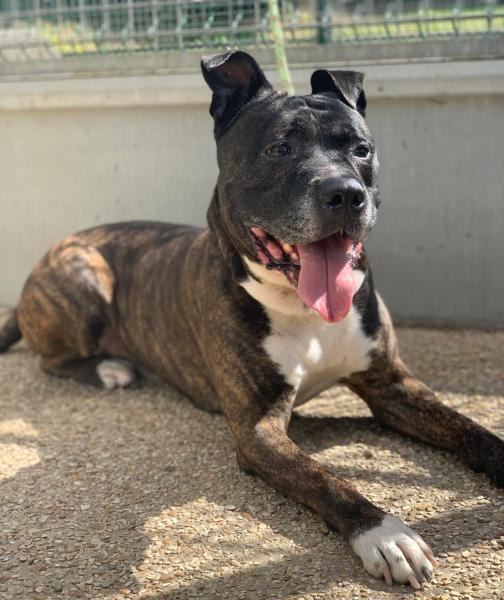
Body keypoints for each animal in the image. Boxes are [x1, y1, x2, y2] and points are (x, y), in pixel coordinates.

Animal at [1, 50, 503, 589]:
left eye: (361, 149)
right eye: (279, 148)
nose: (346, 193)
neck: (300, 305)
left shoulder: (392, 384)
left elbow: (470, 429)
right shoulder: (258, 429)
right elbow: (325, 478)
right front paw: (385, 534)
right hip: (85, 274)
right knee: (50, 359)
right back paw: (108, 368)